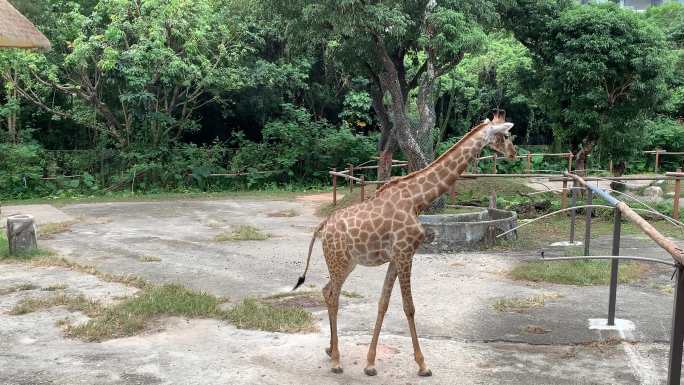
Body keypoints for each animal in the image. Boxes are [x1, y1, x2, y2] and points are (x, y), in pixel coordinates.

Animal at [292, 110, 516, 376]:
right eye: (506, 135)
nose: (513, 153)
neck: (417, 199)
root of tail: (323, 226)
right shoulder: (405, 253)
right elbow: (410, 307)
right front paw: (423, 365)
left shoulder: (395, 257)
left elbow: (383, 303)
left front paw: (370, 363)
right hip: (339, 261)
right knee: (333, 296)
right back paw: (336, 360)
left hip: (346, 263)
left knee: (327, 292)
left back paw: (330, 350)